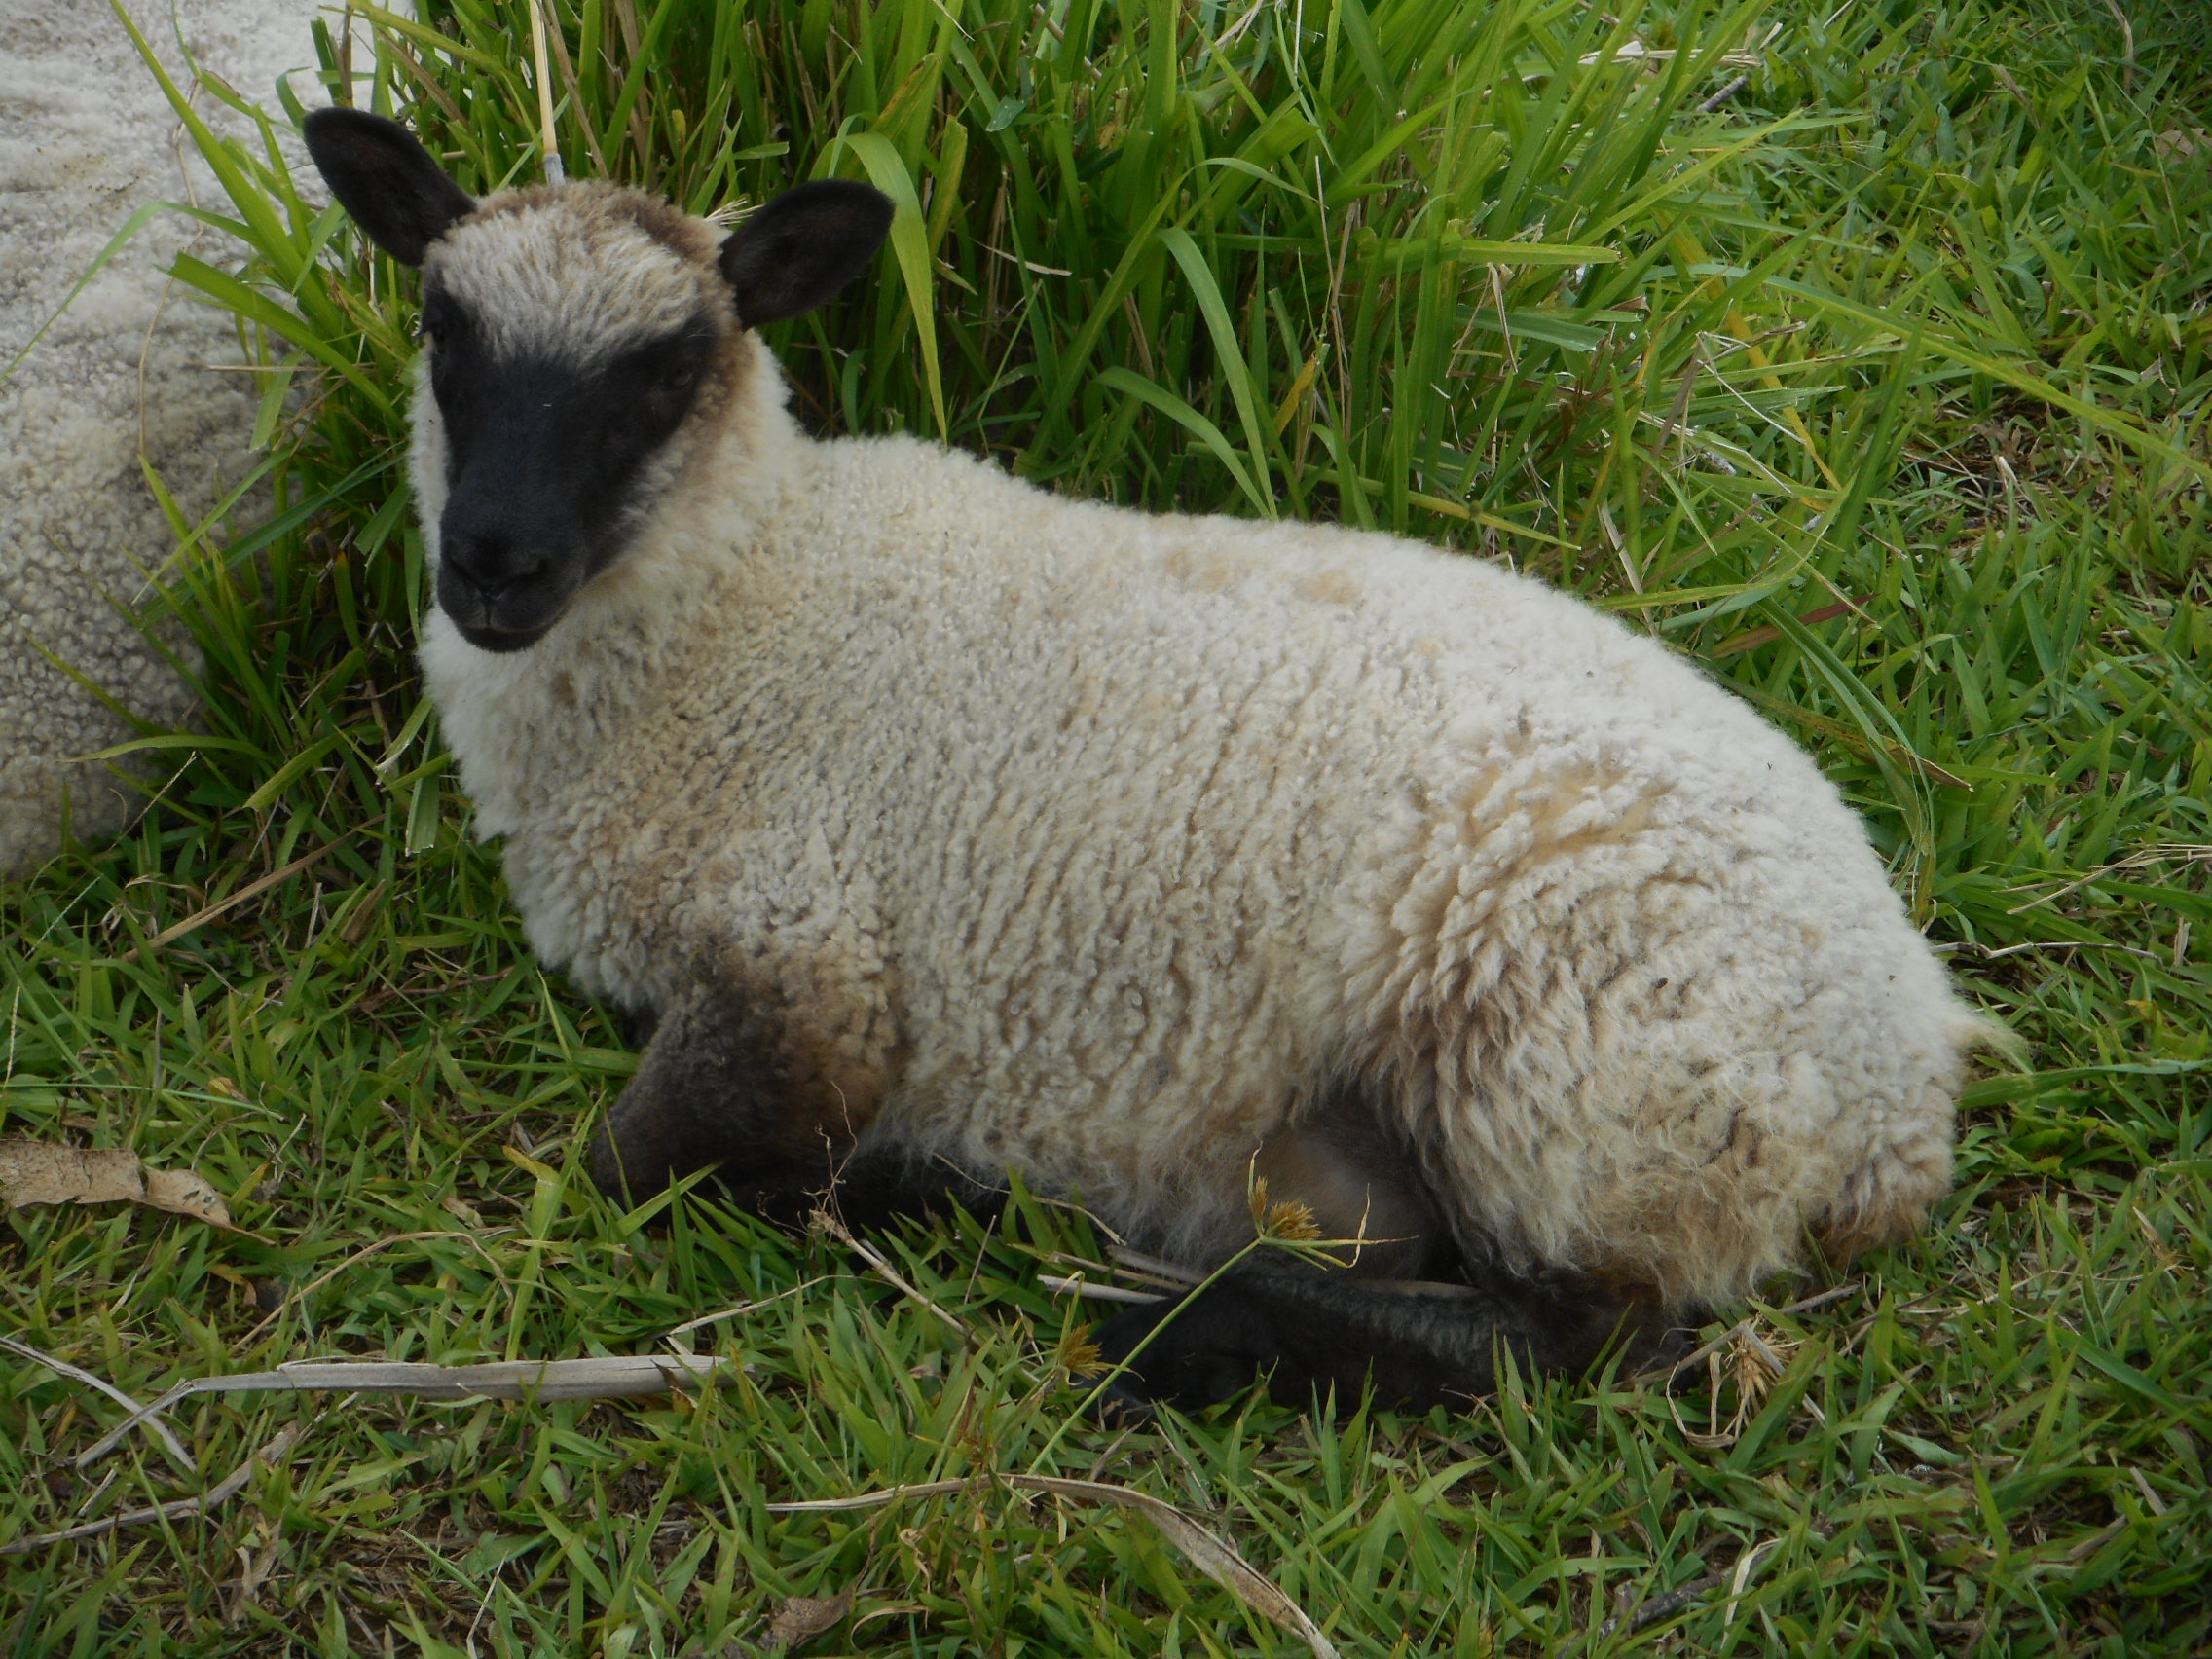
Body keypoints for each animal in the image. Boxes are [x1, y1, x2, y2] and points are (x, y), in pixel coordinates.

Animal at [303, 107, 1999, 1416]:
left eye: (664, 372)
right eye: (444, 336)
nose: (493, 563)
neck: (744, 609)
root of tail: (1903, 1092)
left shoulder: (806, 967)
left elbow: (619, 1162)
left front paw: (872, 1182)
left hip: (1581, 1075)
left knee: (1581, 1342)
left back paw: (1137, 1316)